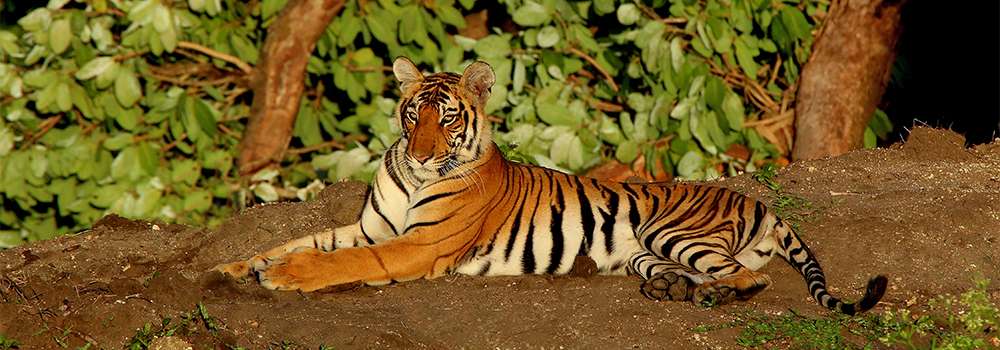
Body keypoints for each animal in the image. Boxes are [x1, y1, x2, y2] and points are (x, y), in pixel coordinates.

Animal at [215, 56, 888, 314]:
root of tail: (755, 200)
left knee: (751, 278)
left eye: (448, 118)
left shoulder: (416, 245)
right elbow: (304, 241)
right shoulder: (368, 225)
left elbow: (339, 261)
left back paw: (711, 296)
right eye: (412, 115)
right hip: (646, 251)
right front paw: (238, 266)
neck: (412, 174)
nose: (423, 153)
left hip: (673, 229)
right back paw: (671, 290)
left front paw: (280, 276)